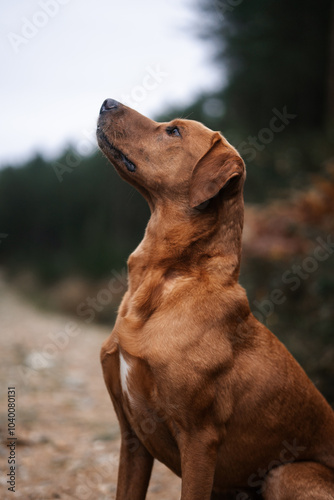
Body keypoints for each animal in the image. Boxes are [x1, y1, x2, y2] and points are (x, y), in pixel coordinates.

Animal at [96, 99, 334, 498]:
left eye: (173, 131)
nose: (106, 102)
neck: (163, 278)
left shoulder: (199, 440)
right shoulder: (132, 437)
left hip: (285, 473)